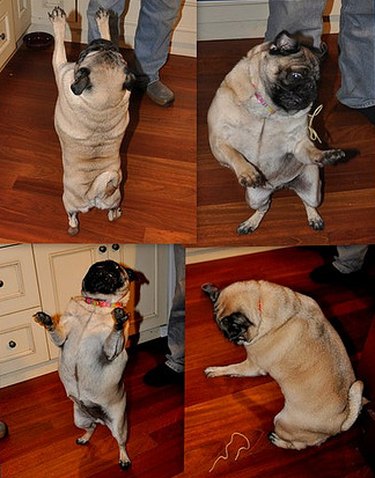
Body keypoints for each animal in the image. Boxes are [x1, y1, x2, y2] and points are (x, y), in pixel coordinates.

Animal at [33, 260, 137, 468]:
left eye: (117, 270)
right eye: (95, 267)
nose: (104, 270)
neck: (96, 305)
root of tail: (98, 418)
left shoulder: (110, 350)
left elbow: (114, 333)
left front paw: (118, 319)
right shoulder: (62, 337)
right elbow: (54, 329)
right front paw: (46, 320)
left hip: (119, 425)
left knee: (120, 442)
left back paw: (124, 458)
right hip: (80, 419)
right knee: (91, 428)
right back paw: (84, 438)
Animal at [49, 8, 135, 236]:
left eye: (83, 55)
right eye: (114, 50)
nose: (101, 42)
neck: (101, 107)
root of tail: (95, 196)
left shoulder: (62, 69)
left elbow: (59, 46)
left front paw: (59, 21)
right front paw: (104, 22)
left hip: (68, 202)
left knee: (72, 217)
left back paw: (73, 226)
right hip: (114, 197)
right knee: (112, 213)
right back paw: (118, 213)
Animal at [203, 280, 364, 448]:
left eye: (232, 328)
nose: (228, 336)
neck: (260, 301)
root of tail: (341, 420)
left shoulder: (253, 365)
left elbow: (232, 367)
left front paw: (216, 370)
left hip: (282, 421)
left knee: (297, 445)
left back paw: (277, 440)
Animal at [207, 29, 348, 233]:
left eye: (318, 81)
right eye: (297, 76)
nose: (311, 88)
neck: (268, 110)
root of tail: (280, 185)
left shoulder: (299, 144)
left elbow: (311, 150)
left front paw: (326, 155)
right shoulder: (219, 142)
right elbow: (234, 154)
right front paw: (247, 172)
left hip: (313, 189)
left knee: (308, 202)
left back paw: (314, 217)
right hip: (254, 198)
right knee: (264, 207)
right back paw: (251, 223)